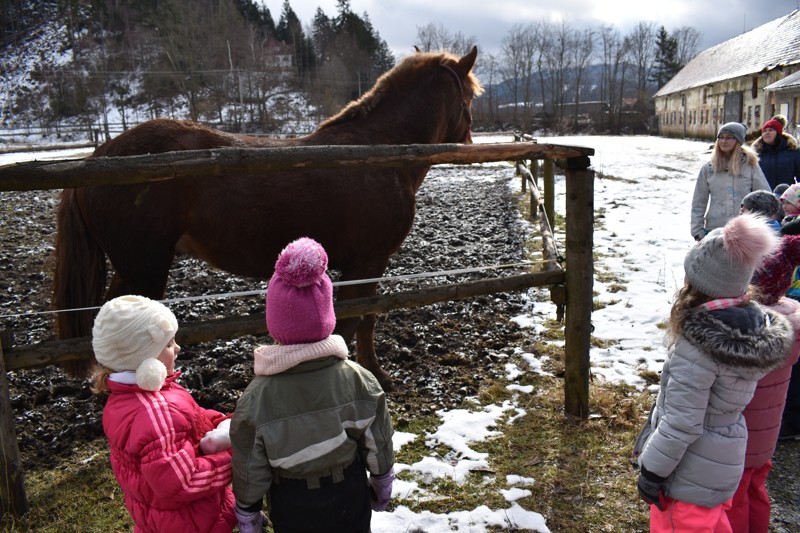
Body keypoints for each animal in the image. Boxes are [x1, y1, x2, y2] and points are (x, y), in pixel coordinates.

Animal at [56, 45, 484, 388]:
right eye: (469, 96)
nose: (469, 139)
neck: (381, 151)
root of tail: (98, 156)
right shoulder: (369, 261)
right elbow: (359, 321)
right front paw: (373, 375)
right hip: (143, 268)